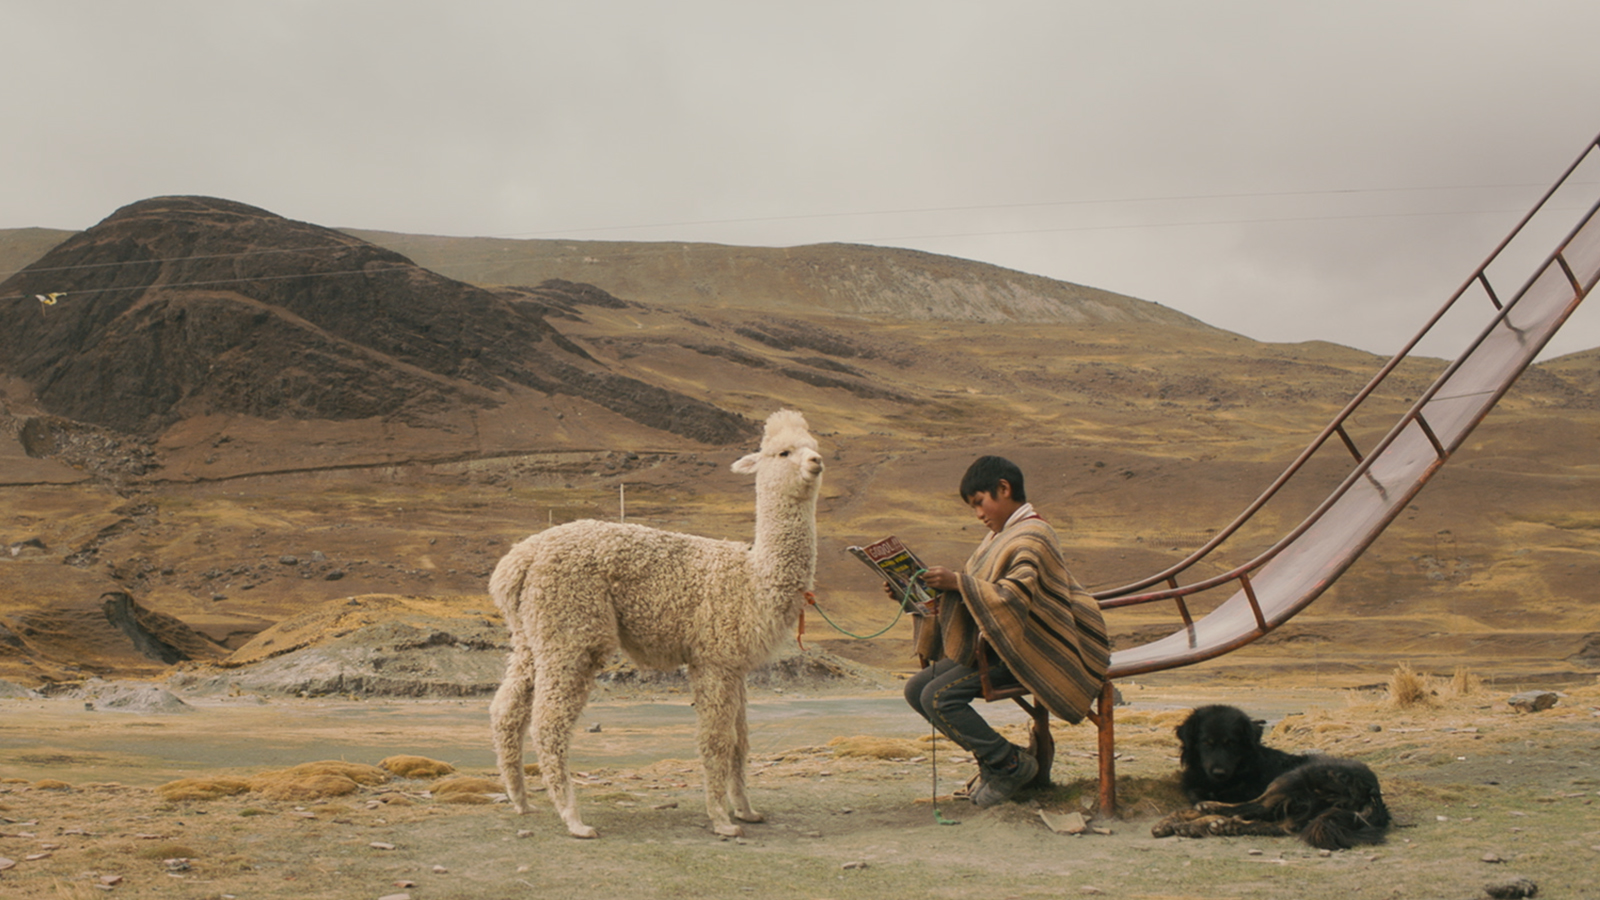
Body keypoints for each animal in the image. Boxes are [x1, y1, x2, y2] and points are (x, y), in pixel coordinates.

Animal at [1158, 704, 1395, 845]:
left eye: (1231, 743)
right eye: (1206, 743)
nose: (1219, 772)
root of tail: (1369, 790)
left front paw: (1193, 822)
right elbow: (1186, 809)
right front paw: (1167, 822)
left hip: (1293, 776)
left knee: (1258, 806)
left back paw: (1214, 813)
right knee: (1280, 825)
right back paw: (1228, 825)